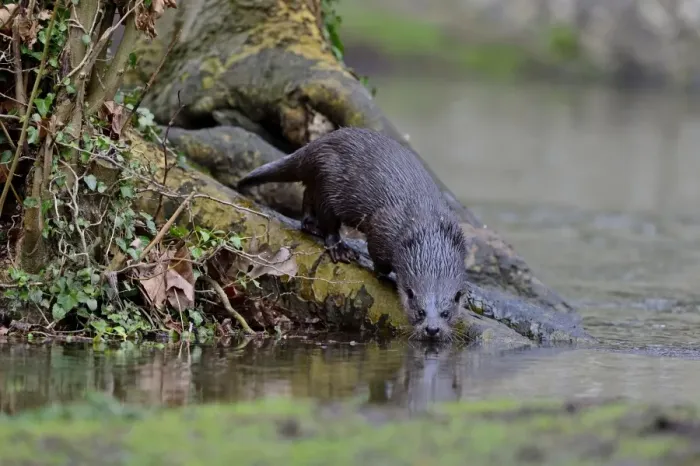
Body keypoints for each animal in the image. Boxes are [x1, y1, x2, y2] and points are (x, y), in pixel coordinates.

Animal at [237, 127, 468, 341]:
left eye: (446, 313)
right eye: (420, 311)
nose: (432, 329)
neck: (428, 228)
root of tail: (315, 146)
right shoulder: (382, 229)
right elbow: (378, 258)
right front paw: (384, 274)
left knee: (307, 194)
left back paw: (310, 225)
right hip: (328, 182)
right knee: (327, 219)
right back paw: (339, 248)